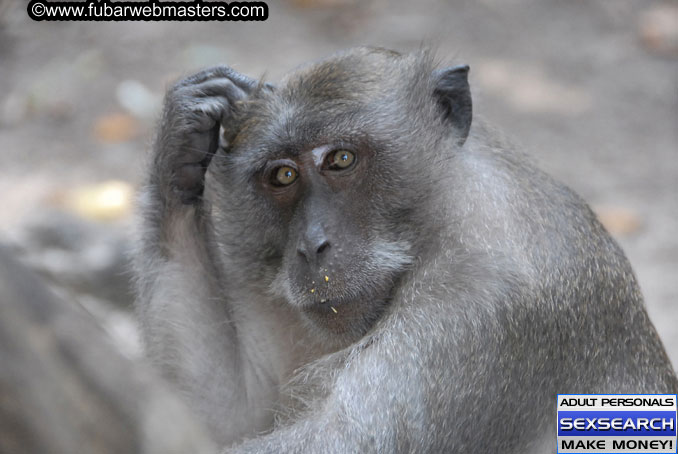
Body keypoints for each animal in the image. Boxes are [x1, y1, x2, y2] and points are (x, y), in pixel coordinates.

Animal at [134, 48, 678, 452]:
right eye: (283, 175)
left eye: (341, 159)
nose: (311, 246)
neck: (436, 222)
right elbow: (224, 417)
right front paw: (183, 141)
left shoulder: (483, 308)